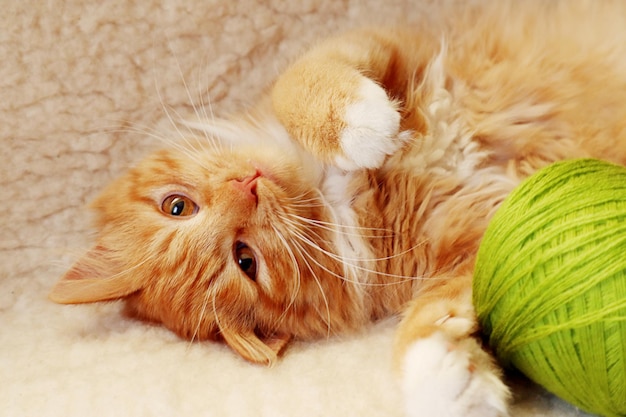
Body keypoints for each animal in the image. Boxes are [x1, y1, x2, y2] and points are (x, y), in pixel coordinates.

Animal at [50, 1, 626, 414]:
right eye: (245, 260)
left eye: (177, 206)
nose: (249, 186)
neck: (338, 193)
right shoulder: (479, 244)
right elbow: (433, 317)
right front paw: (444, 377)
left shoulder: (379, 47)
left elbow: (301, 83)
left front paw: (359, 122)